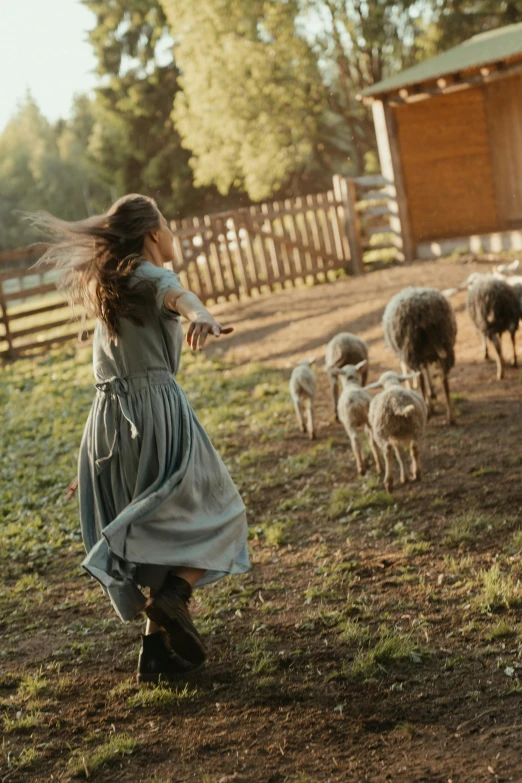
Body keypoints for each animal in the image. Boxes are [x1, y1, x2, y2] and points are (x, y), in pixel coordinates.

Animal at [378, 286, 456, 422]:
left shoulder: (406, 357)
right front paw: (432, 393)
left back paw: (427, 410)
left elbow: (410, 374)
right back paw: (450, 416)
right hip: (445, 345)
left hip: (412, 352)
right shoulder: (426, 357)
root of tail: (424, 313)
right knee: (445, 381)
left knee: (422, 382)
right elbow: (427, 372)